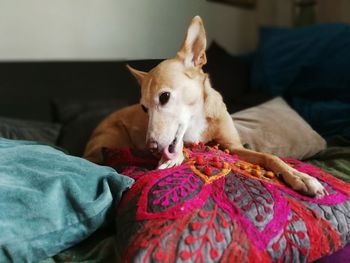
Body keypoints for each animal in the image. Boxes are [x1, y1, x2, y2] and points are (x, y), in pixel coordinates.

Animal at [83, 15, 326, 197]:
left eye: (164, 96)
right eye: (144, 108)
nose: (151, 147)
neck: (197, 117)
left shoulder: (234, 146)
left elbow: (270, 157)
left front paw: (300, 177)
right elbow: (180, 145)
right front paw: (174, 156)